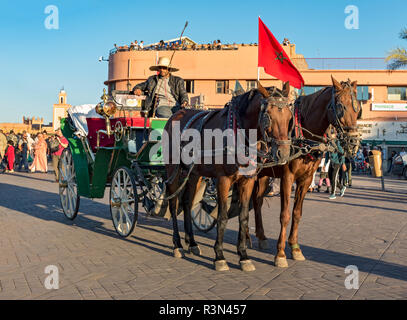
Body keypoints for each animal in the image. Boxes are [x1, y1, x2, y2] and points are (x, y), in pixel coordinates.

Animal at [164, 82, 294, 270]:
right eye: (268, 116)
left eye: (290, 118)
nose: (283, 153)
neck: (240, 131)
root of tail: (175, 115)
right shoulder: (223, 180)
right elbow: (222, 216)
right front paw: (219, 256)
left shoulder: (248, 181)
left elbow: (244, 217)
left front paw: (244, 255)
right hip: (172, 169)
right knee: (174, 204)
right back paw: (178, 245)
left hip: (194, 173)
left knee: (188, 203)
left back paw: (192, 243)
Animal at [253, 75, 362, 268]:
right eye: (341, 106)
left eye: (357, 109)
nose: (353, 143)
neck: (303, 136)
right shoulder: (287, 177)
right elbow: (285, 215)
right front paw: (280, 254)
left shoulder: (306, 178)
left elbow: (297, 213)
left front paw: (295, 248)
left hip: (264, 174)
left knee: (257, 202)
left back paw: (261, 237)